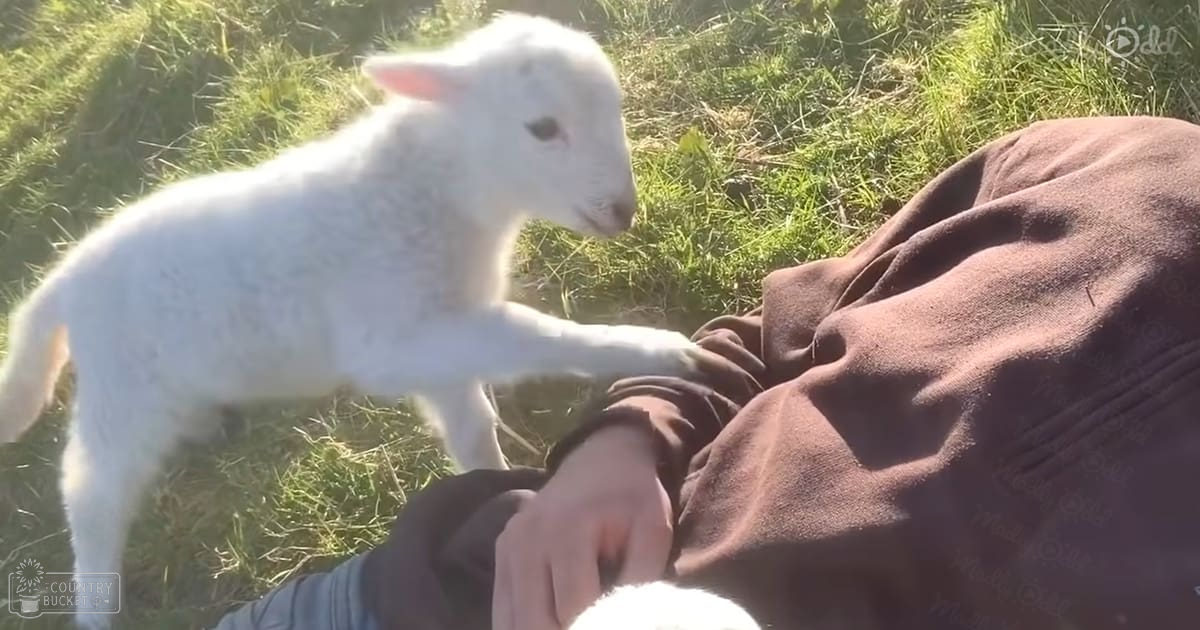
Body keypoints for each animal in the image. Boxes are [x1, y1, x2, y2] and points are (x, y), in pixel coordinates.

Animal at [0, 13, 700, 628]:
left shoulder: (439, 334)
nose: (622, 212)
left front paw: (489, 480)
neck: (439, 188)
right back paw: (95, 604)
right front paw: (654, 349)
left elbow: (472, 422)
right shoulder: (390, 330)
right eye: (543, 128)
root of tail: (64, 279)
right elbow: (530, 335)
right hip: (122, 392)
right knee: (89, 490)